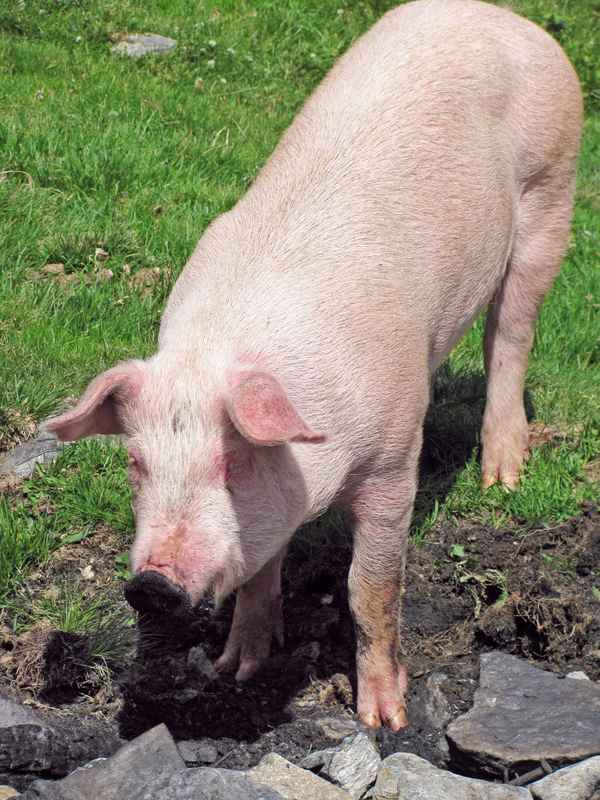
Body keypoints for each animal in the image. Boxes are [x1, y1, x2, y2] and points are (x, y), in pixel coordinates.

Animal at [45, 0, 582, 731]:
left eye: (232, 464)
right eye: (135, 463)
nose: (152, 585)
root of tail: (505, 19)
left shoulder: (393, 457)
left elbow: (370, 587)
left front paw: (383, 719)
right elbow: (258, 572)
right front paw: (236, 668)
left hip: (551, 191)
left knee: (512, 334)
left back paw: (501, 479)